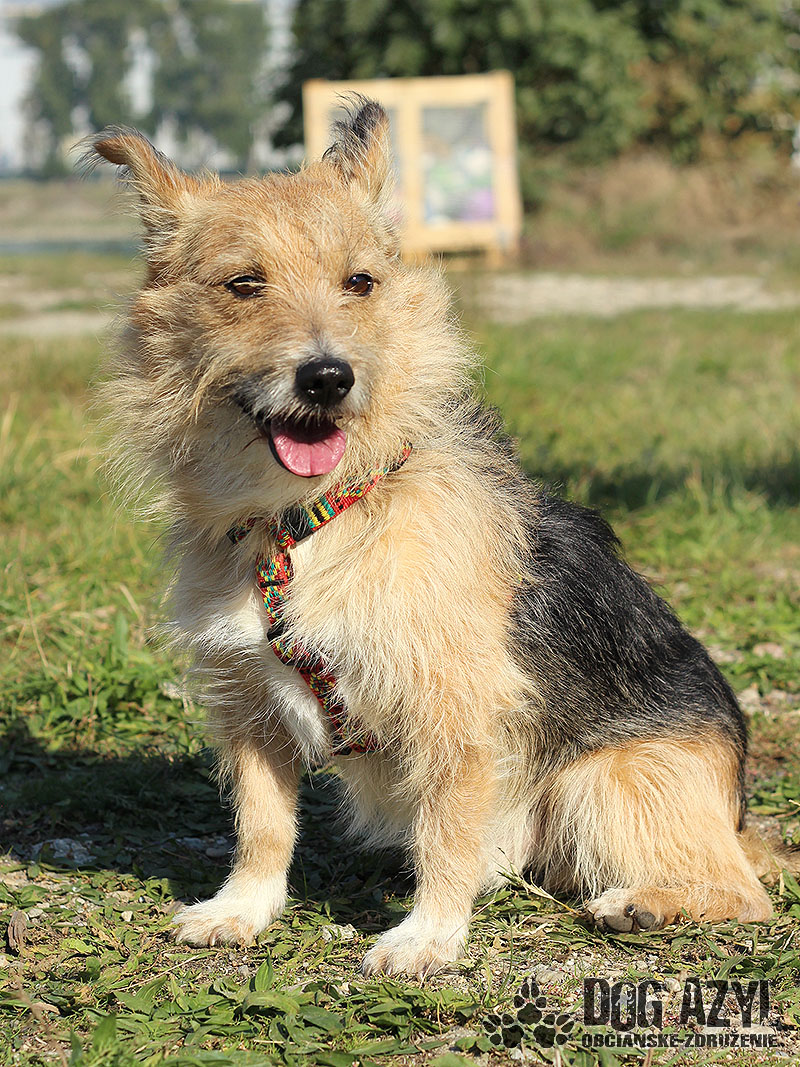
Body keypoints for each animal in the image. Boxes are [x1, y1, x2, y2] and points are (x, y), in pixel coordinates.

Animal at [87, 100, 777, 978]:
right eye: (244, 285)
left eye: (360, 282)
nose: (327, 378)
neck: (312, 520)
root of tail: (736, 808)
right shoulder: (247, 701)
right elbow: (263, 821)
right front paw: (244, 907)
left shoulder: (456, 706)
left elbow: (445, 830)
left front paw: (429, 935)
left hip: (603, 782)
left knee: (742, 890)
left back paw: (646, 901)